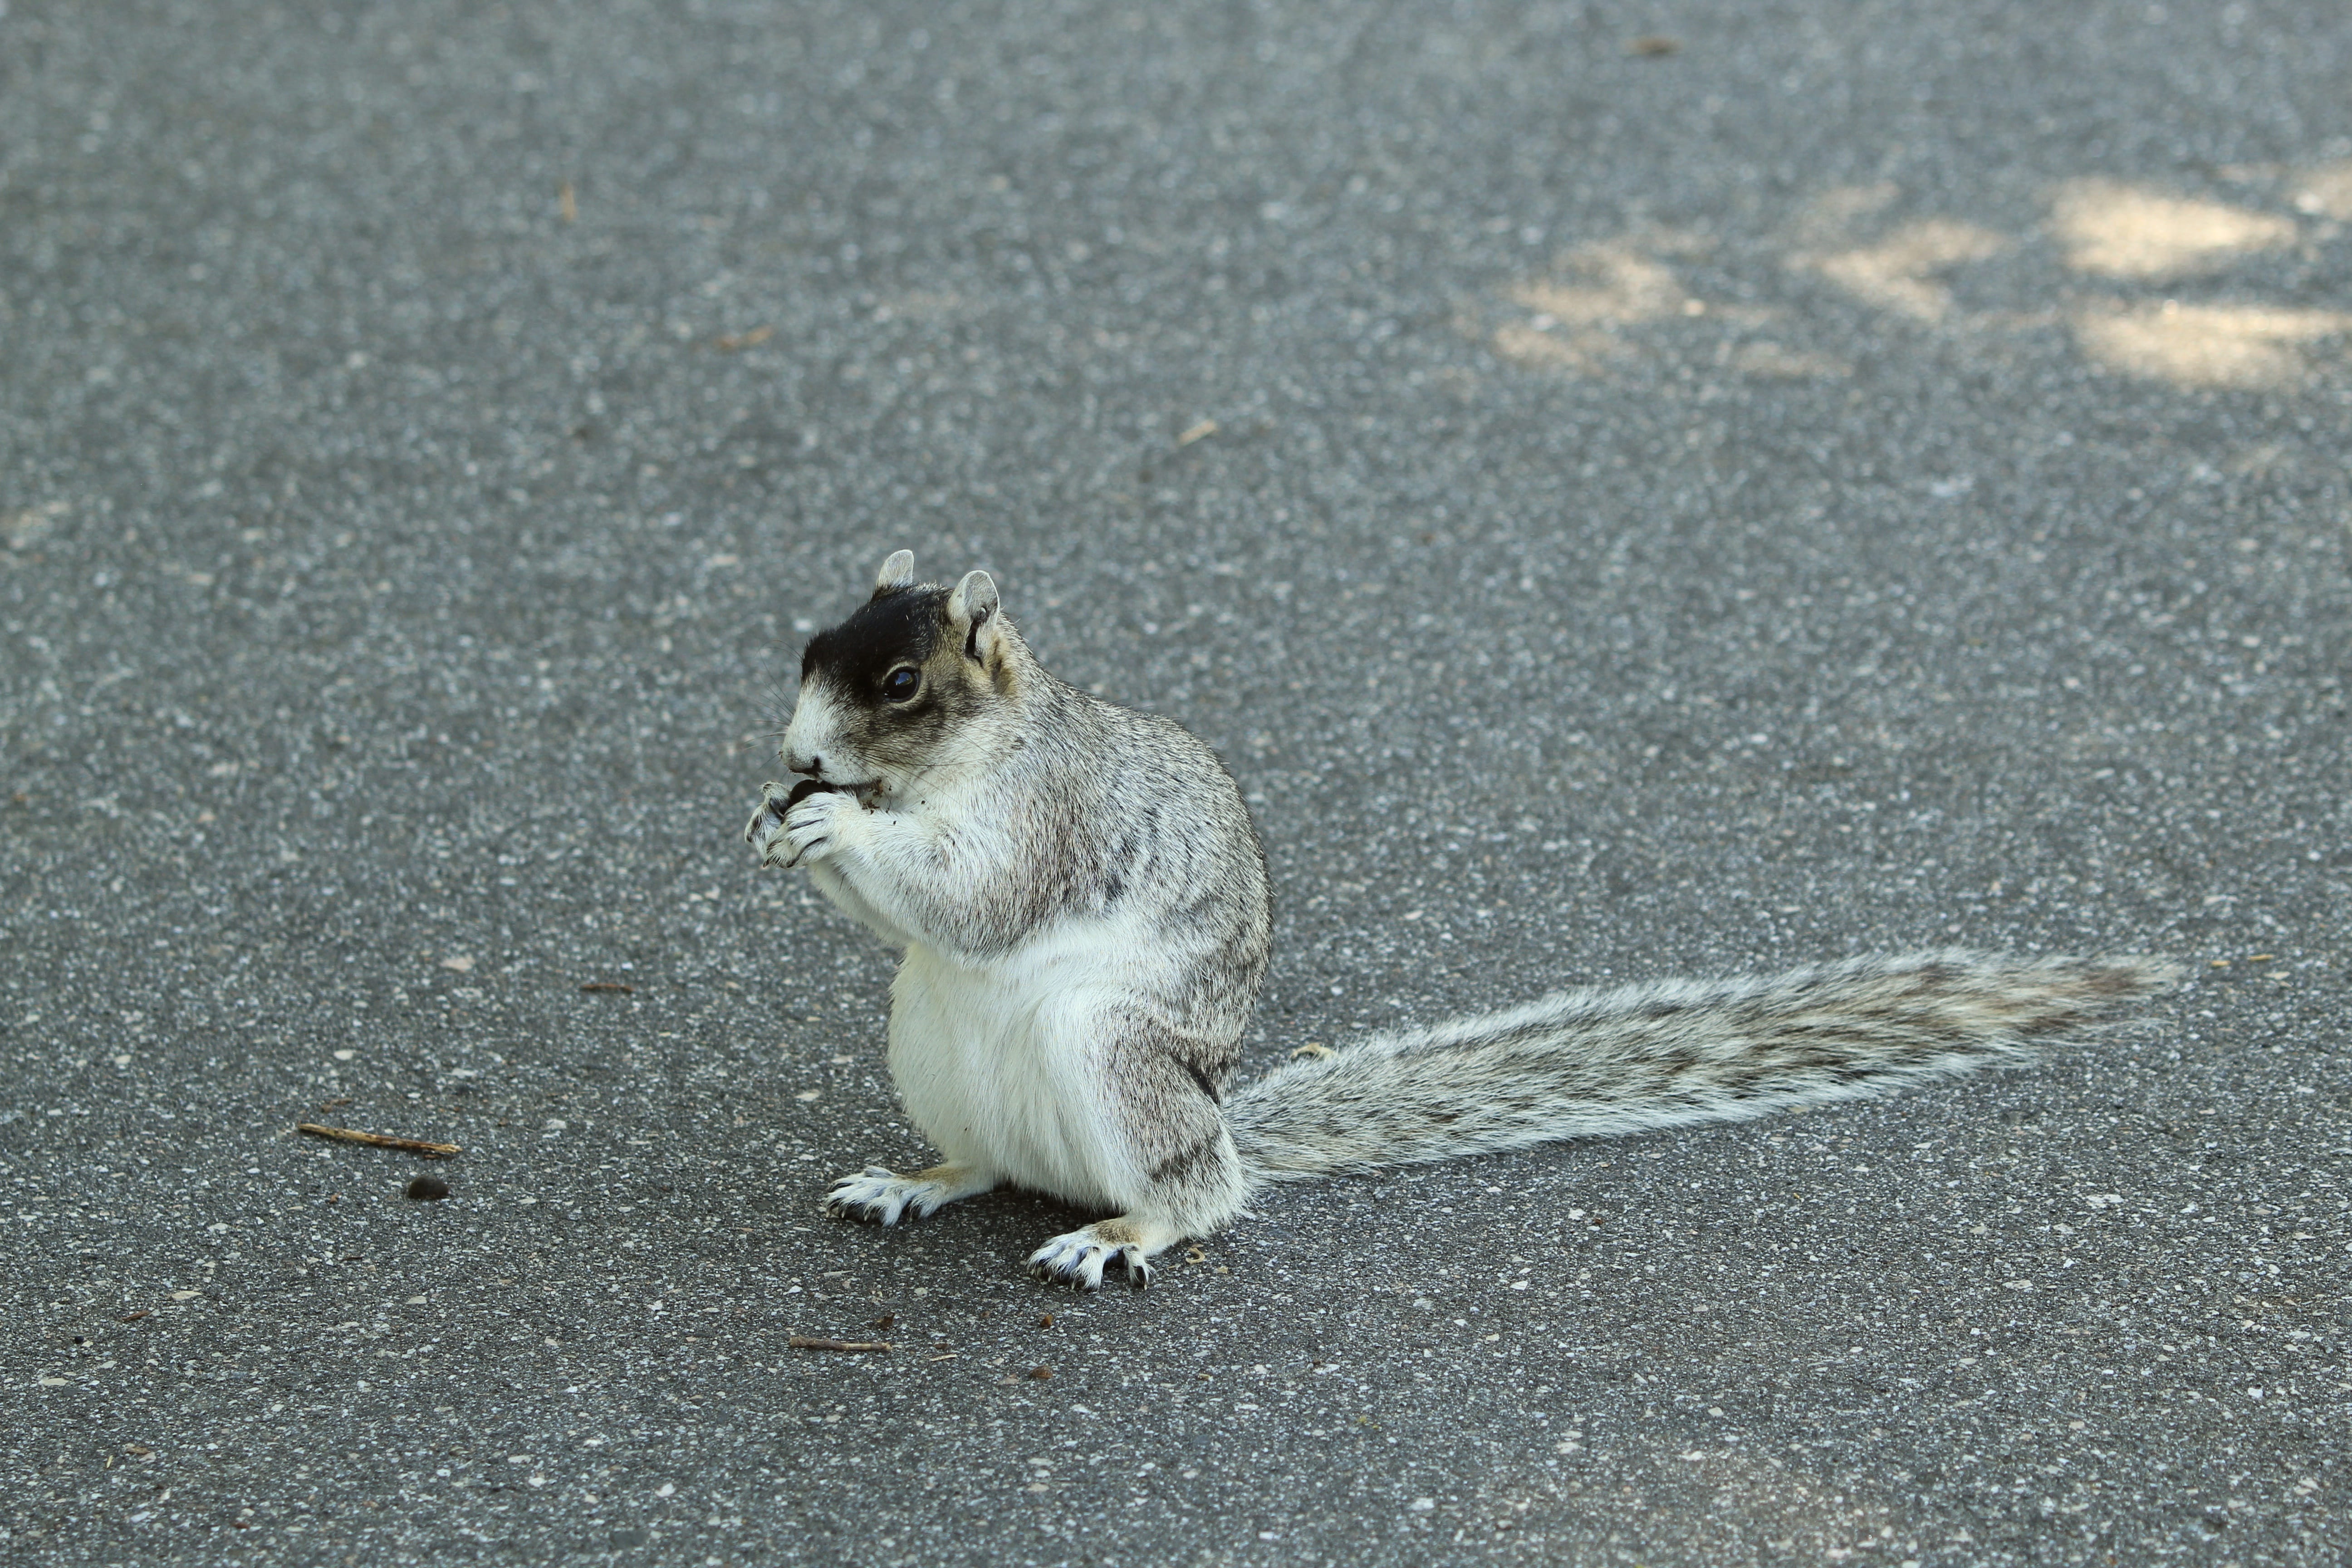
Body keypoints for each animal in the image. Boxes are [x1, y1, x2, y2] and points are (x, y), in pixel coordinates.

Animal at [746, 551, 2175, 1289]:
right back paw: (919, 1178)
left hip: (1119, 1063)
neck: (958, 767)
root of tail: (1220, 1125)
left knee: (1195, 1198)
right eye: (810, 645)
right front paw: (773, 819)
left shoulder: (1051, 819)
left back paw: (1121, 1230)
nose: (796, 752)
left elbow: (973, 897)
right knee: (987, 1162)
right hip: (930, 1048)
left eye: (900, 681)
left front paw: (833, 828)